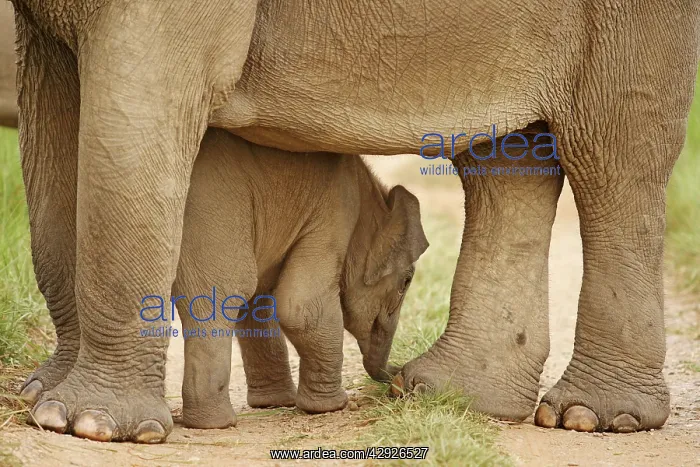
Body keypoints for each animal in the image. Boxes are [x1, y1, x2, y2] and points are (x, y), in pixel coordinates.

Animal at [171, 128, 427, 429]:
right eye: (406, 282)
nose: (400, 377)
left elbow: (259, 300)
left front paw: (275, 403)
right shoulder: (334, 210)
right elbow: (301, 308)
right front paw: (332, 407)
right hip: (210, 211)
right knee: (224, 290)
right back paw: (215, 423)